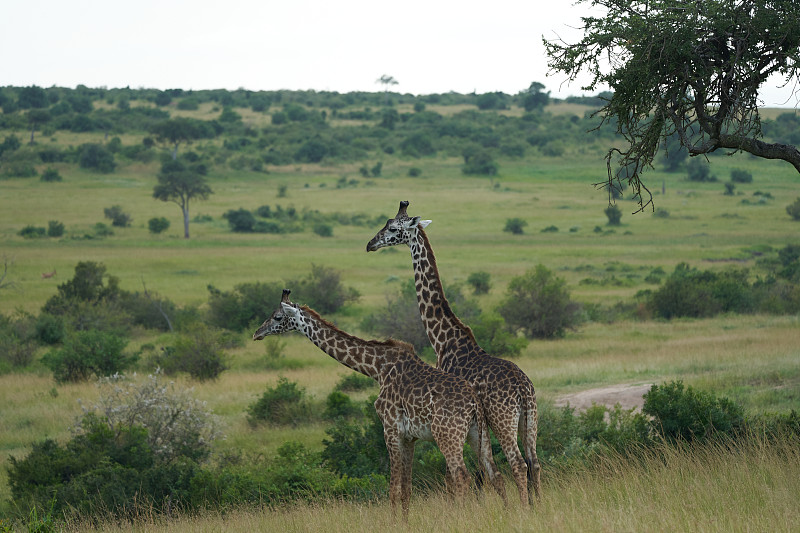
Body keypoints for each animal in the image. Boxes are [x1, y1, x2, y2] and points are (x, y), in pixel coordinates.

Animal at [253, 288, 510, 516]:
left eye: (277, 316)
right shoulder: (410, 436)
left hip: (448, 434)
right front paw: (405, 523)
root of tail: (474, 403)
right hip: (478, 433)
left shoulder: (390, 428)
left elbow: (393, 488)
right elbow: (406, 489)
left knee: (462, 477)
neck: (377, 368)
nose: (257, 333)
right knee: (495, 474)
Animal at [366, 202, 540, 504]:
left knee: (518, 464)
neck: (444, 339)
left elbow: (455, 476)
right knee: (535, 463)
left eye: (393, 228)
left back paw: (524, 509)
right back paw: (540, 507)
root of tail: (523, 389)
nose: (370, 244)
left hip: (503, 420)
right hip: (530, 421)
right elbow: (480, 474)